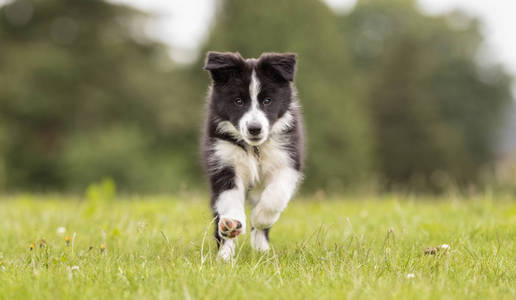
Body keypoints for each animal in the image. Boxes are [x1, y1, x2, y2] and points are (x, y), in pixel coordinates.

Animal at [202, 51, 304, 260]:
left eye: (268, 101)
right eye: (238, 101)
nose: (254, 129)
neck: (254, 148)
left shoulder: (288, 160)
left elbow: (275, 196)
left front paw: (259, 218)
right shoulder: (223, 163)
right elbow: (229, 199)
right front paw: (232, 224)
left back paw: (261, 250)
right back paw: (225, 254)